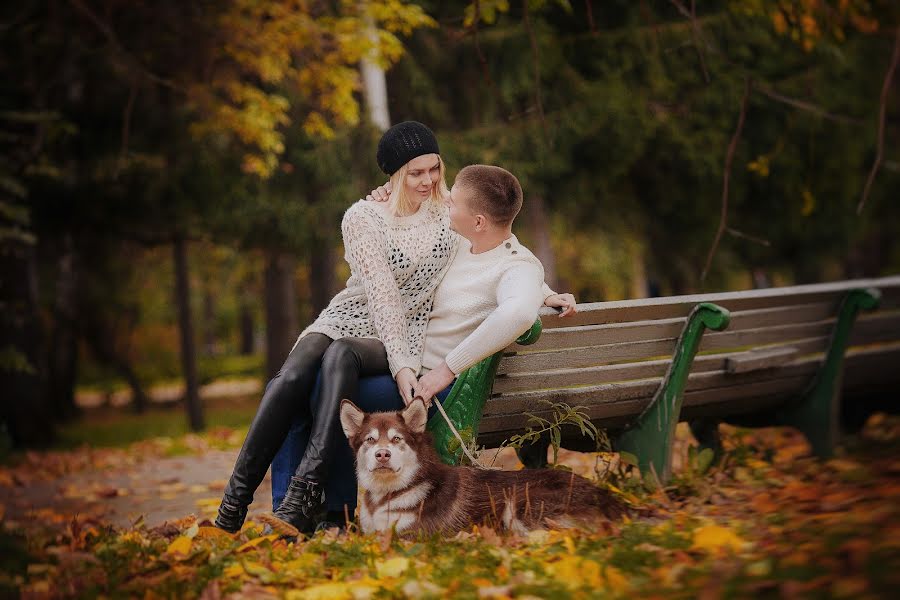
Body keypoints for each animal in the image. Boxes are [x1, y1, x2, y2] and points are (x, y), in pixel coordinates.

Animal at [338, 398, 624, 536]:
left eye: (397, 439)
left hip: (518, 503)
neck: (387, 495)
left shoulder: (409, 535)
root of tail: (608, 497)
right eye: (370, 440)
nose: (382, 454)